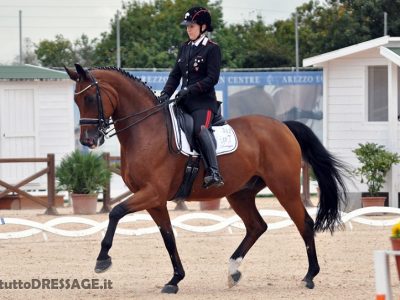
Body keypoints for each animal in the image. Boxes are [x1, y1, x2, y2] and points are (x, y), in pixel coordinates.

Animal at [65, 63, 346, 296]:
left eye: (89, 97)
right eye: (76, 101)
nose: (88, 140)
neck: (146, 131)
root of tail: (283, 126)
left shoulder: (152, 192)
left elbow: (115, 212)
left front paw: (102, 259)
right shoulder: (155, 200)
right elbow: (168, 237)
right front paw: (175, 280)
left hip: (284, 188)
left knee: (304, 223)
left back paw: (309, 276)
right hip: (240, 193)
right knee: (257, 226)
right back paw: (233, 271)